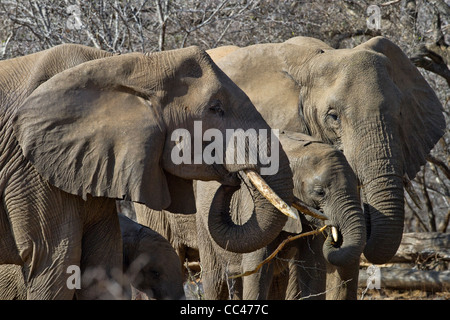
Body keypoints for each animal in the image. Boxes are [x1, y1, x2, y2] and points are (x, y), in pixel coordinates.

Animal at [196, 131, 366, 300]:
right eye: (320, 192)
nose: (333, 231)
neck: (295, 152)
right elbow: (256, 272)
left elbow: (313, 270)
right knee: (216, 283)